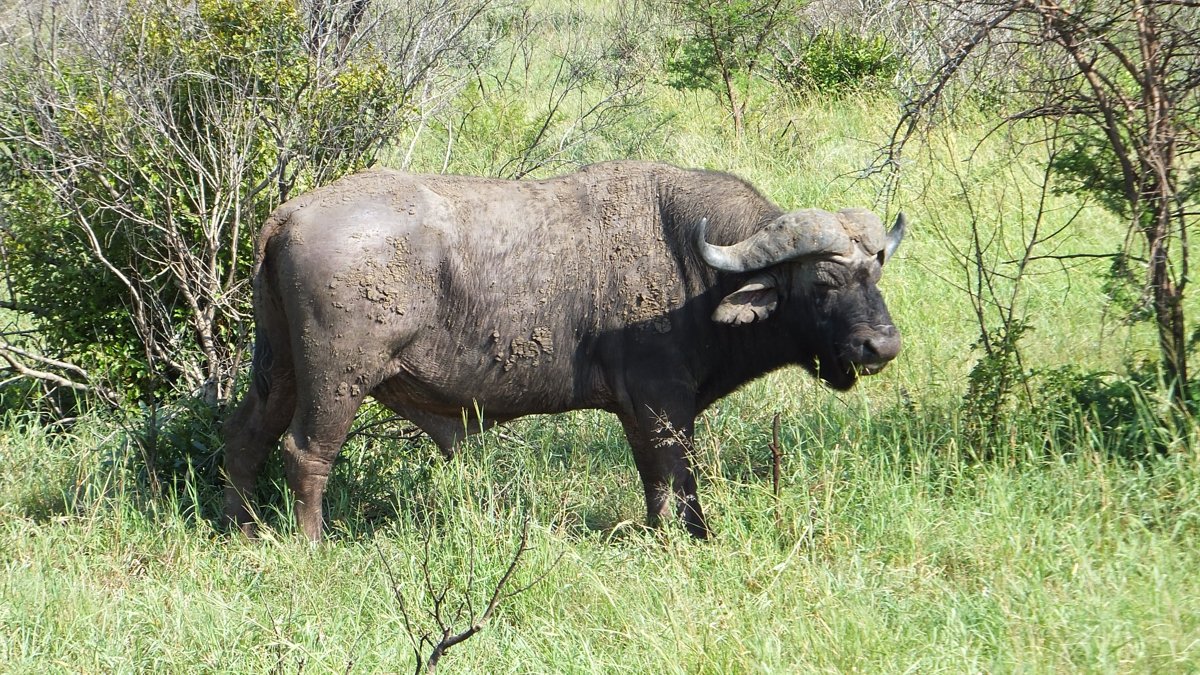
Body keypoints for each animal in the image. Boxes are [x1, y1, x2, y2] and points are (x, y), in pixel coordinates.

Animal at [223, 161, 904, 540]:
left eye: (876, 271)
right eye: (824, 282)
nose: (882, 345)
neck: (693, 265)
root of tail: (287, 216)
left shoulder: (639, 413)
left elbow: (656, 482)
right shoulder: (664, 405)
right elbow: (679, 477)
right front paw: (698, 537)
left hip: (280, 370)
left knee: (246, 438)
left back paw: (242, 529)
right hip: (337, 379)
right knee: (305, 453)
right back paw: (310, 545)